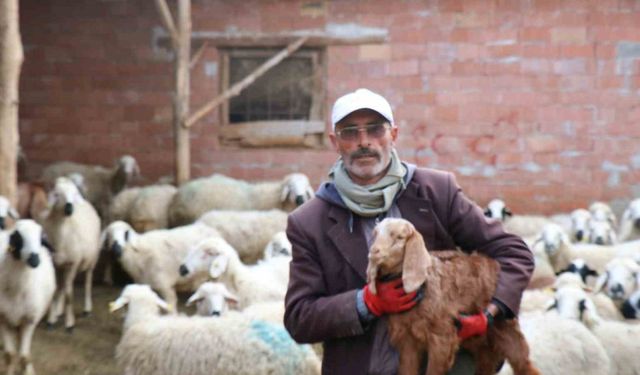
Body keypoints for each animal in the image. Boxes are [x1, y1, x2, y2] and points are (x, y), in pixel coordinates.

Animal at [0, 220, 55, 375]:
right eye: (18, 238)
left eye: (41, 240)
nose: (35, 259)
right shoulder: (3, 319)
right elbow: (9, 355)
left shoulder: (29, 320)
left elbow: (24, 357)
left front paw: (27, 370)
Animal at [42, 177, 100, 332]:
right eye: (57, 194)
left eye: (74, 194)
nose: (69, 207)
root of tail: (85, 202)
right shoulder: (55, 263)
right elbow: (56, 290)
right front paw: (51, 319)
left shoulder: (73, 263)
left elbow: (69, 295)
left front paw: (69, 324)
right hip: (63, 265)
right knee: (63, 286)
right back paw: (58, 311)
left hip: (91, 261)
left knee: (87, 282)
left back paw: (87, 308)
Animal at [364, 217, 540, 375]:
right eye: (375, 234)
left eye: (400, 237)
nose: (374, 252)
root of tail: (494, 263)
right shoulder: (407, 339)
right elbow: (407, 369)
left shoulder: (442, 337)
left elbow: (434, 371)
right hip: (478, 339)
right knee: (486, 361)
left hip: (505, 326)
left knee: (523, 364)